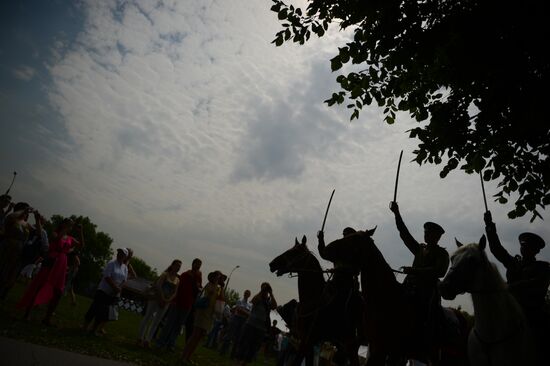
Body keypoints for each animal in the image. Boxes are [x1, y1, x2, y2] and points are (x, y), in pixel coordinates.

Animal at [268, 236, 362, 366]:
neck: (315, 298)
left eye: (295, 251)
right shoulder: (307, 342)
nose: (272, 264)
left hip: (350, 343)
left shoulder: (307, 341)